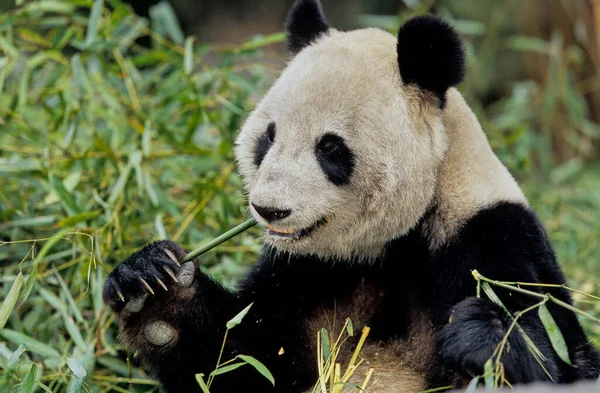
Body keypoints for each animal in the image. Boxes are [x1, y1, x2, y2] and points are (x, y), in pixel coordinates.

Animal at [103, 1, 600, 390]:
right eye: (268, 136)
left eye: (330, 148)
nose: (269, 210)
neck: (395, 243)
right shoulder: (312, 273)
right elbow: (241, 358)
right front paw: (151, 285)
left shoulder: (494, 240)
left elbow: (561, 359)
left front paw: (482, 334)